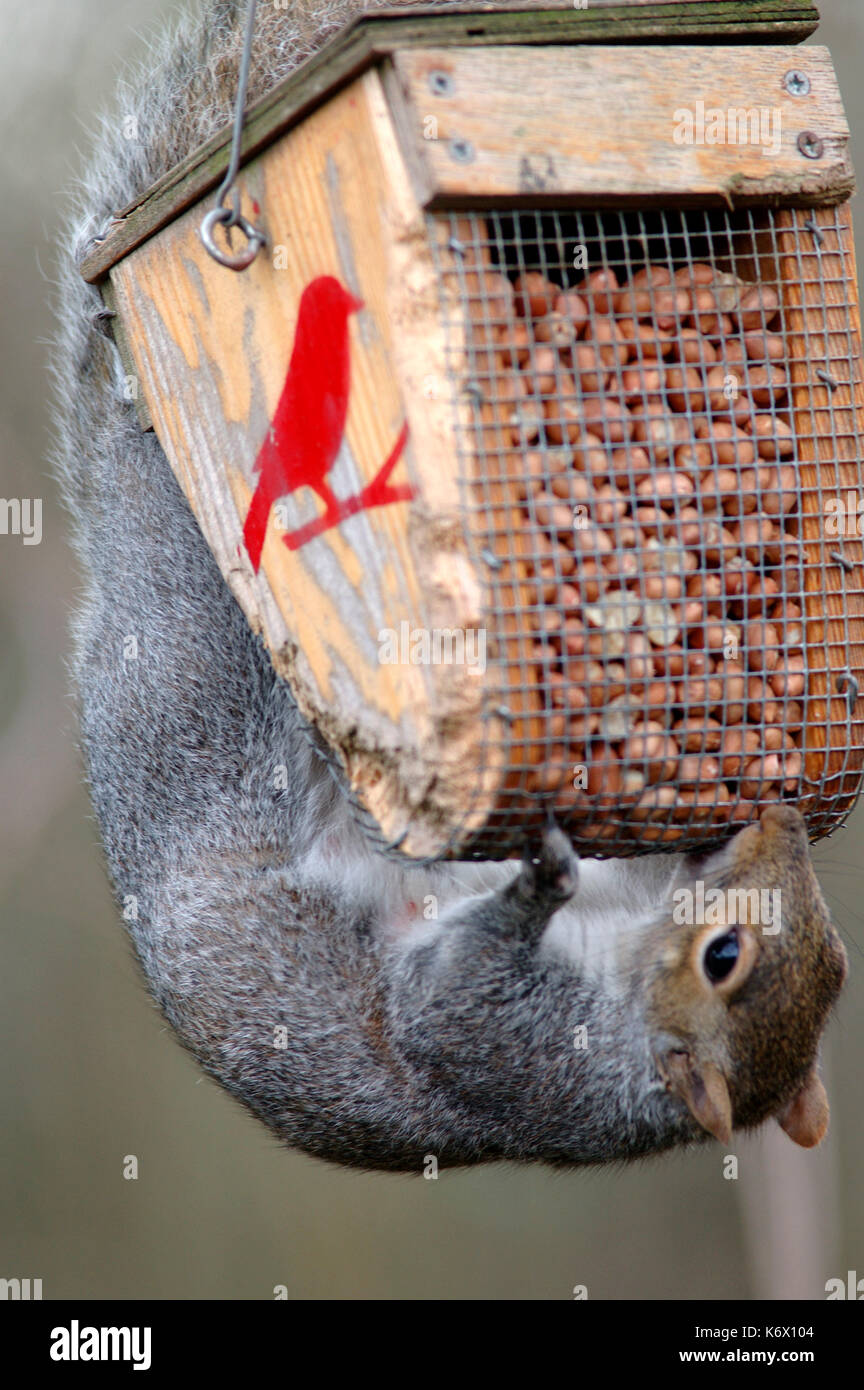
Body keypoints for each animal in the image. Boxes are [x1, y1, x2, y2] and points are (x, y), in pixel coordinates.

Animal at [51, 0, 847, 1172]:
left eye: (733, 958)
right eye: (809, 949)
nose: (778, 826)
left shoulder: (512, 1051)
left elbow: (447, 1004)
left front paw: (544, 877)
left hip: (190, 680)